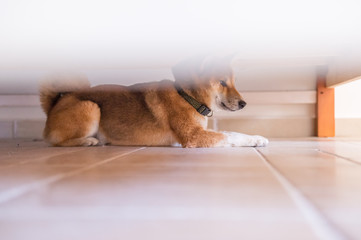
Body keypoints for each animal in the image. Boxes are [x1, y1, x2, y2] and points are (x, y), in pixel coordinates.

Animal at [40, 56, 268, 147]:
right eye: (222, 82)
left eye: (234, 82)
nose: (243, 104)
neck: (188, 98)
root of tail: (55, 104)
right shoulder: (193, 137)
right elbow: (232, 135)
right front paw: (256, 139)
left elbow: (229, 132)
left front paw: (256, 137)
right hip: (91, 107)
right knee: (57, 142)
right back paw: (88, 141)